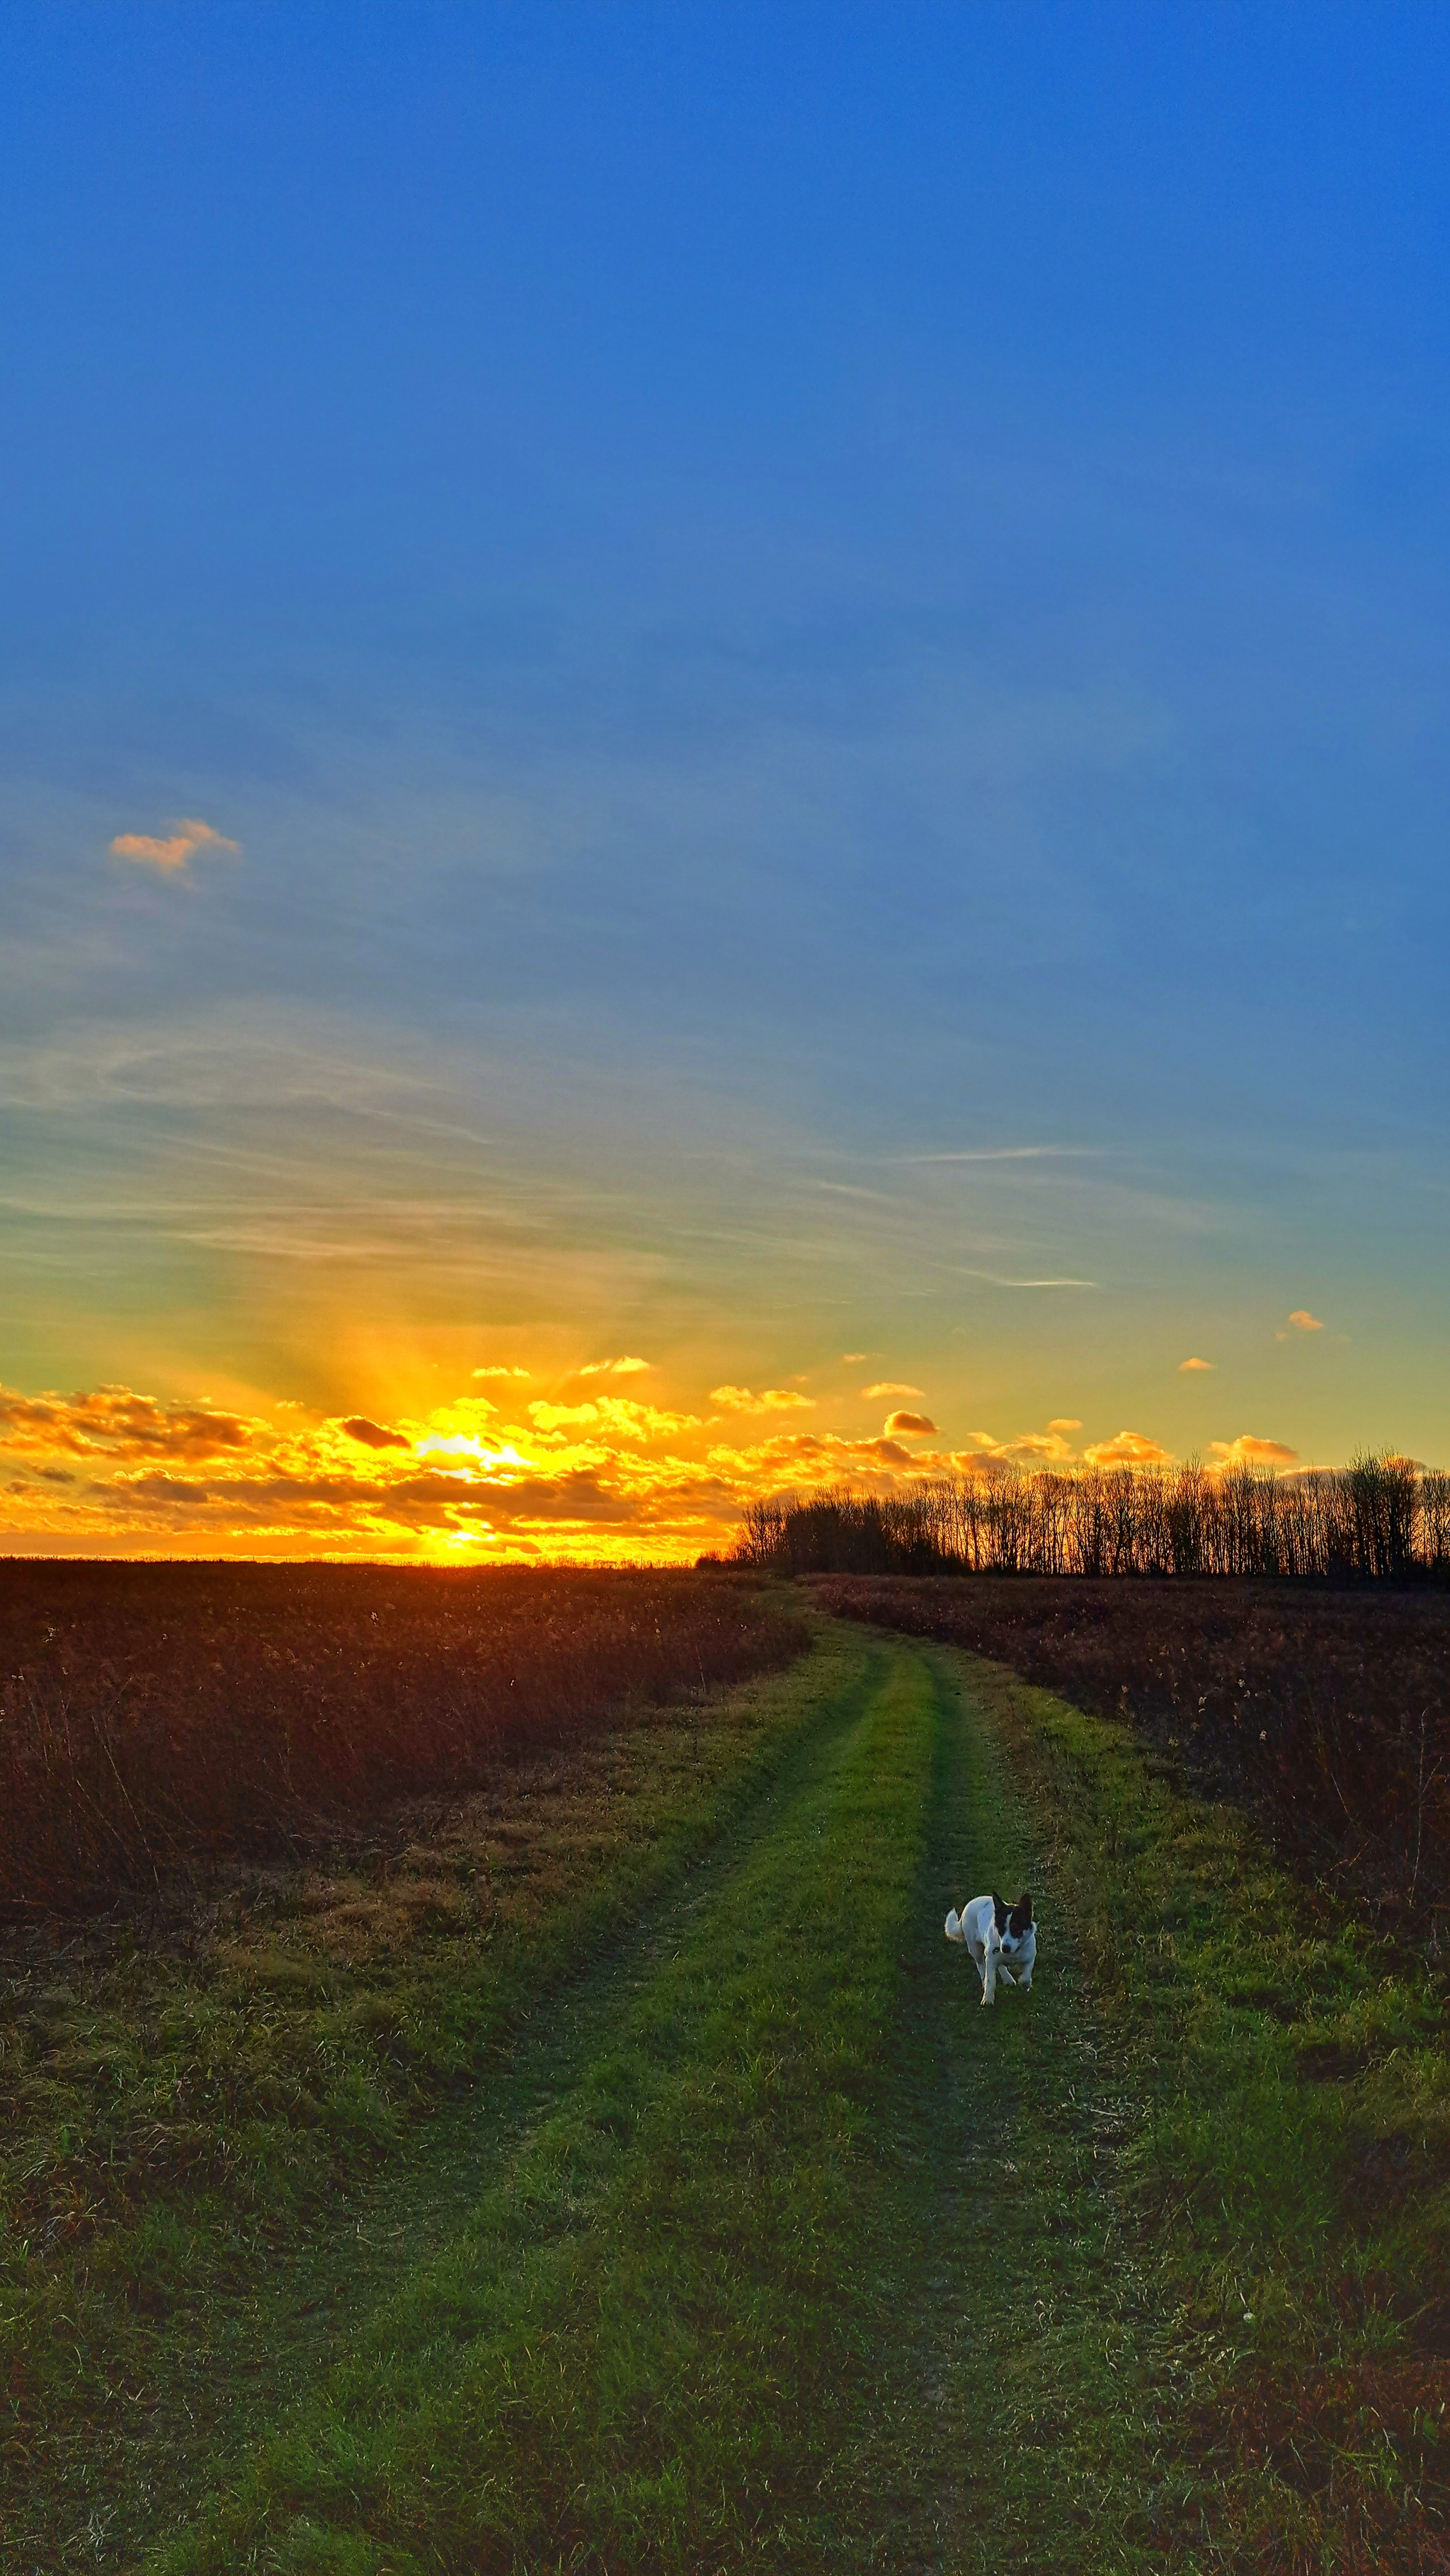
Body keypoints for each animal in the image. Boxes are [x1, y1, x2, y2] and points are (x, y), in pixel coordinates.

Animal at [947, 1896, 1040, 2009]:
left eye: (1016, 1928)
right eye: (1001, 1929)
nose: (1005, 1948)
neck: (1013, 1952)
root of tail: (970, 1903)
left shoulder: (1030, 1957)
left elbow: (1026, 1976)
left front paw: (1025, 1984)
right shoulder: (990, 1959)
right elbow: (990, 1981)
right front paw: (988, 1999)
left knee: (1000, 1965)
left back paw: (1008, 1978)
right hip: (975, 1948)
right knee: (981, 1965)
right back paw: (986, 1979)